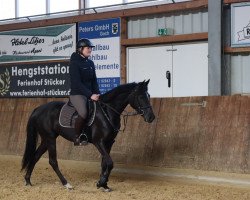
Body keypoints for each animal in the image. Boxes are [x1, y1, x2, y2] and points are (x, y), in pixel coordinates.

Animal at [21, 79, 155, 191]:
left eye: (148, 96)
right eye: (141, 96)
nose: (151, 117)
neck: (107, 111)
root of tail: (38, 109)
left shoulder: (109, 142)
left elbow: (105, 163)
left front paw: (103, 184)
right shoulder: (98, 142)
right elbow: (110, 163)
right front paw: (101, 182)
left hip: (46, 139)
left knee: (35, 156)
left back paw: (28, 180)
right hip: (50, 139)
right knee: (53, 161)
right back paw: (66, 184)